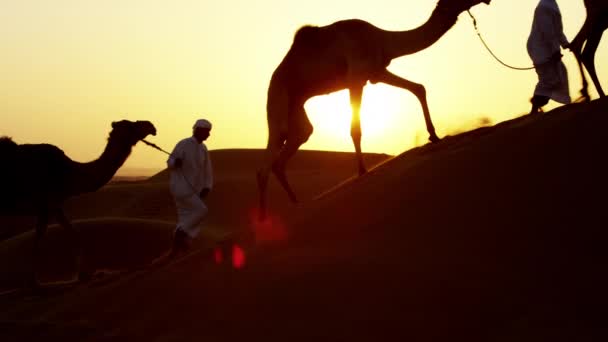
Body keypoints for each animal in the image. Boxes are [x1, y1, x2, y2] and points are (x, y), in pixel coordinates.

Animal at [1, 120, 157, 288]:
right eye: (131, 125)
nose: (151, 126)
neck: (70, 173)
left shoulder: (53, 206)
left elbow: (71, 234)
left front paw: (83, 275)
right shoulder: (48, 203)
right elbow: (42, 239)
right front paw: (35, 282)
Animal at [255, 0, 490, 219]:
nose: (487, 1)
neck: (381, 40)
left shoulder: (376, 72)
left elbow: (418, 88)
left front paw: (434, 135)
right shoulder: (356, 78)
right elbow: (355, 129)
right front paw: (362, 171)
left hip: (296, 109)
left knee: (294, 143)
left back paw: (296, 205)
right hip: (277, 98)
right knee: (267, 161)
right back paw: (263, 219)